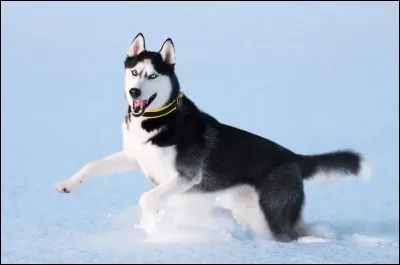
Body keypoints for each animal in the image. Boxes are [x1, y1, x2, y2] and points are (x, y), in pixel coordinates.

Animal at [54, 32, 374, 241]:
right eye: (134, 72)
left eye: (153, 76)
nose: (135, 92)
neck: (157, 121)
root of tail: (294, 158)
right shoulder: (135, 156)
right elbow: (93, 166)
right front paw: (67, 184)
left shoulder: (186, 176)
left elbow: (148, 198)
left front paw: (151, 227)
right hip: (250, 209)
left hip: (273, 210)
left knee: (293, 233)